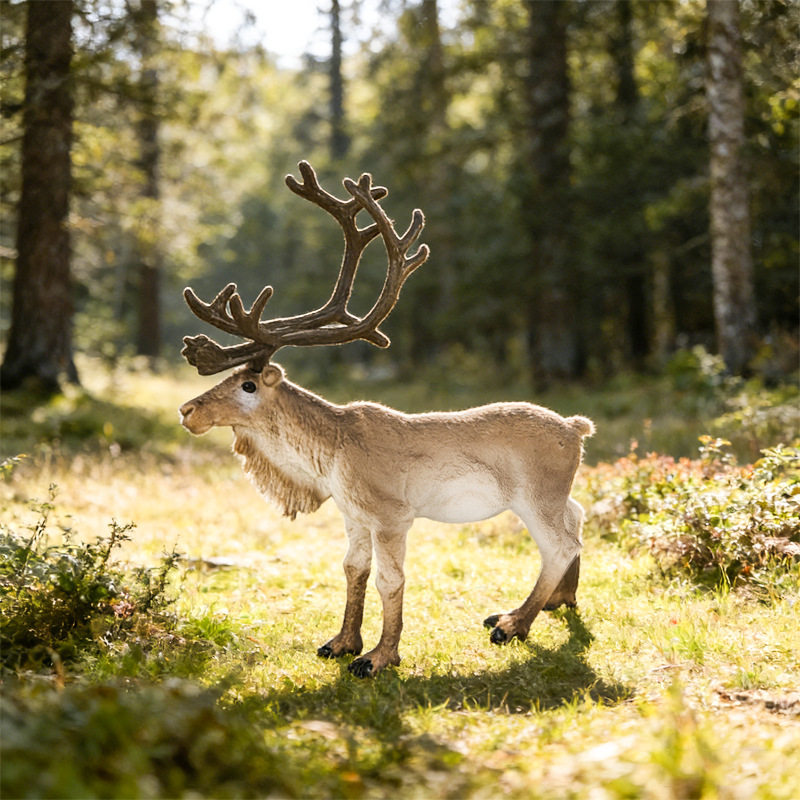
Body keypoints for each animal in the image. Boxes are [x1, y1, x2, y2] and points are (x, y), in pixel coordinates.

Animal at [179, 161, 594, 678]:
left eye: (248, 385)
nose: (188, 409)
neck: (327, 459)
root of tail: (578, 428)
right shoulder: (353, 514)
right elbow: (352, 569)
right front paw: (341, 642)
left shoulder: (392, 515)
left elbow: (390, 579)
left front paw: (379, 657)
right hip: (552, 493)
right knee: (578, 517)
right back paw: (557, 602)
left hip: (535, 493)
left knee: (560, 542)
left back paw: (513, 624)